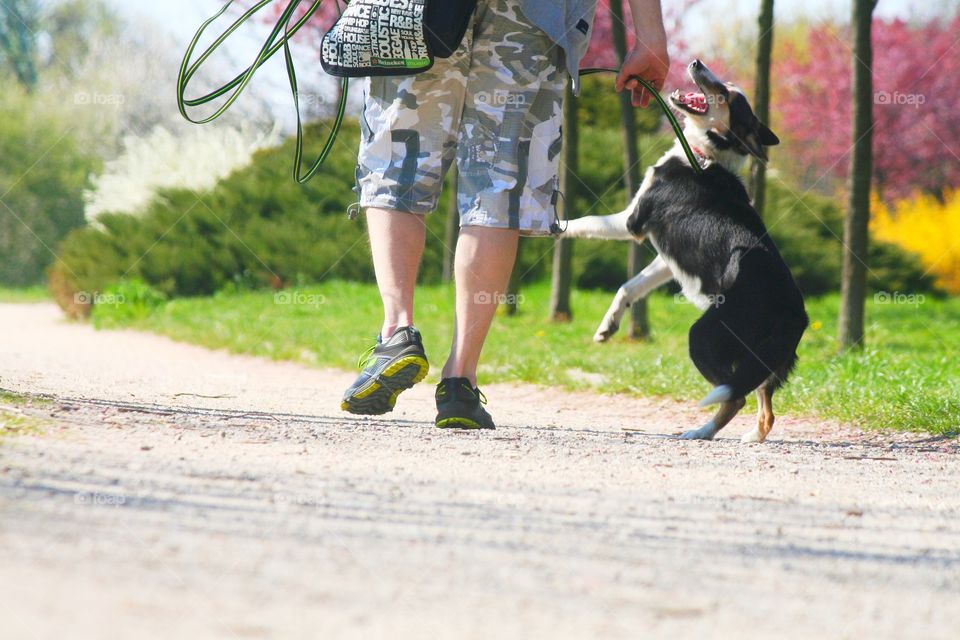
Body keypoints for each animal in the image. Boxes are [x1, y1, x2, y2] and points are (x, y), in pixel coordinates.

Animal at [564, 60, 808, 442]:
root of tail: (795, 313)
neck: (704, 156)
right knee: (764, 408)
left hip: (705, 338)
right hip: (762, 362)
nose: (696, 62)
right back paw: (751, 437)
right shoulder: (666, 259)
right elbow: (629, 287)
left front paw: (548, 225)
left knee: (733, 396)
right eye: (727, 84)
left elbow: (583, 221)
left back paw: (699, 432)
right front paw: (608, 326)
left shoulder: (631, 223)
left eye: (725, 94)